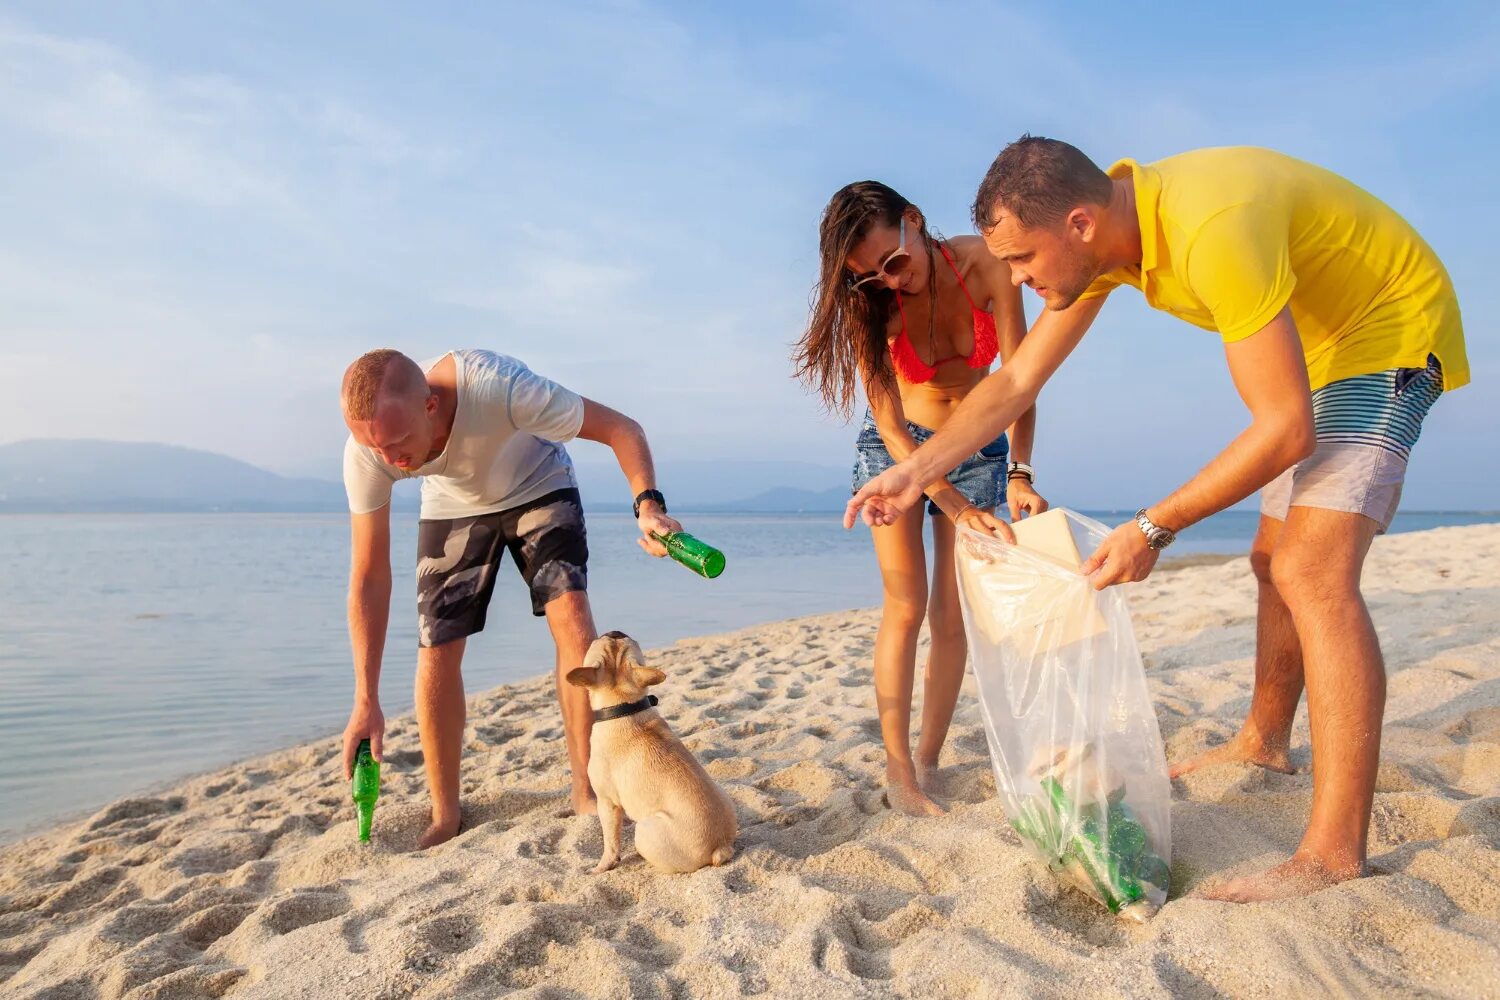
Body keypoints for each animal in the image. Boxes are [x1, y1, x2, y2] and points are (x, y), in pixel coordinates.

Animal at [567, 632, 738, 875]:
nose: (615, 632)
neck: (624, 707)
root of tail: (721, 846)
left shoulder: (607, 802)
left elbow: (610, 842)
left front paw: (601, 867)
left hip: (645, 829)